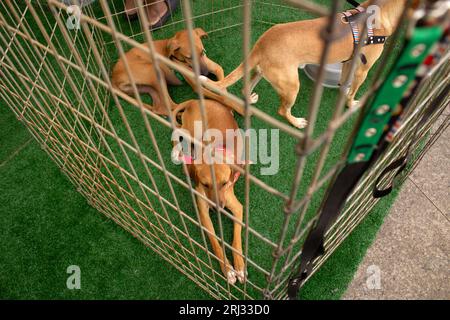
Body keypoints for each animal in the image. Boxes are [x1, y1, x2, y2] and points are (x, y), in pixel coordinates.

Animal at [171, 99, 246, 284]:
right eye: (205, 184)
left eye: (225, 183)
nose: (217, 208)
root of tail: (194, 100)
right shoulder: (204, 212)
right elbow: (215, 242)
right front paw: (228, 269)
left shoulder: (238, 207)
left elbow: (236, 239)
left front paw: (239, 266)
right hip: (193, 130)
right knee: (178, 130)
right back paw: (176, 151)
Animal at [200, 0, 404, 127]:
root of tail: (261, 44)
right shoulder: (363, 69)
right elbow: (353, 91)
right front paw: (351, 104)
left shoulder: (349, 61)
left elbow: (345, 82)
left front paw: (344, 90)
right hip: (291, 86)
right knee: (282, 110)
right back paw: (296, 122)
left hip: (262, 72)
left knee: (245, 88)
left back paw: (249, 99)